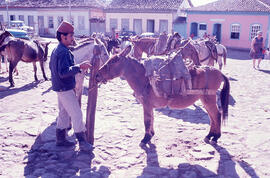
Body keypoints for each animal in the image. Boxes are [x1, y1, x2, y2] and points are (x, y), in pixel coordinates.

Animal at [96, 46, 231, 145]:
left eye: (114, 61)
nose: (97, 75)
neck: (145, 78)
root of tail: (219, 72)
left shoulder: (146, 105)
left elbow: (147, 121)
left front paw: (145, 139)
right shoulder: (149, 106)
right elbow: (151, 119)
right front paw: (150, 135)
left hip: (209, 98)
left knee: (216, 115)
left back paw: (215, 137)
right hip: (205, 99)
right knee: (212, 116)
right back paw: (210, 136)